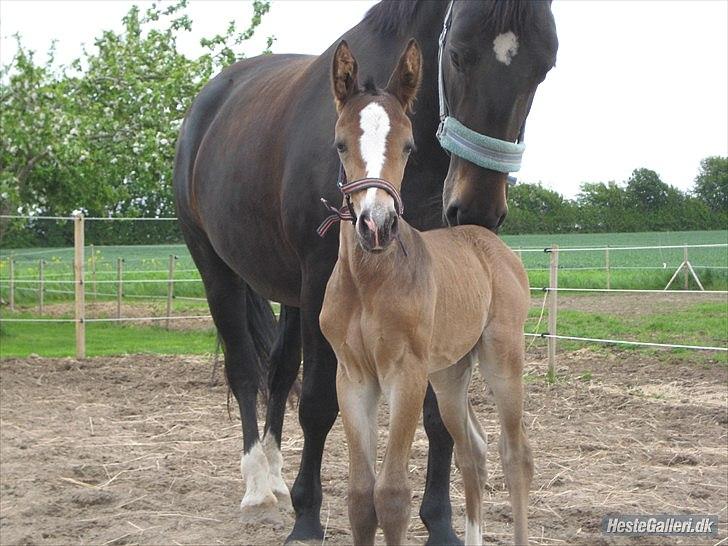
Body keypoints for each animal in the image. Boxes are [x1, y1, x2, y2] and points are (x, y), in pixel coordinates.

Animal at [318, 39, 536, 544]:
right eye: (340, 143)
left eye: (409, 145)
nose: (375, 226)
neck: (368, 282)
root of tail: (490, 242)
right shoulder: (353, 378)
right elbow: (360, 497)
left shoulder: (406, 373)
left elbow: (392, 495)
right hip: (451, 373)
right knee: (473, 449)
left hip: (502, 356)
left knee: (515, 453)